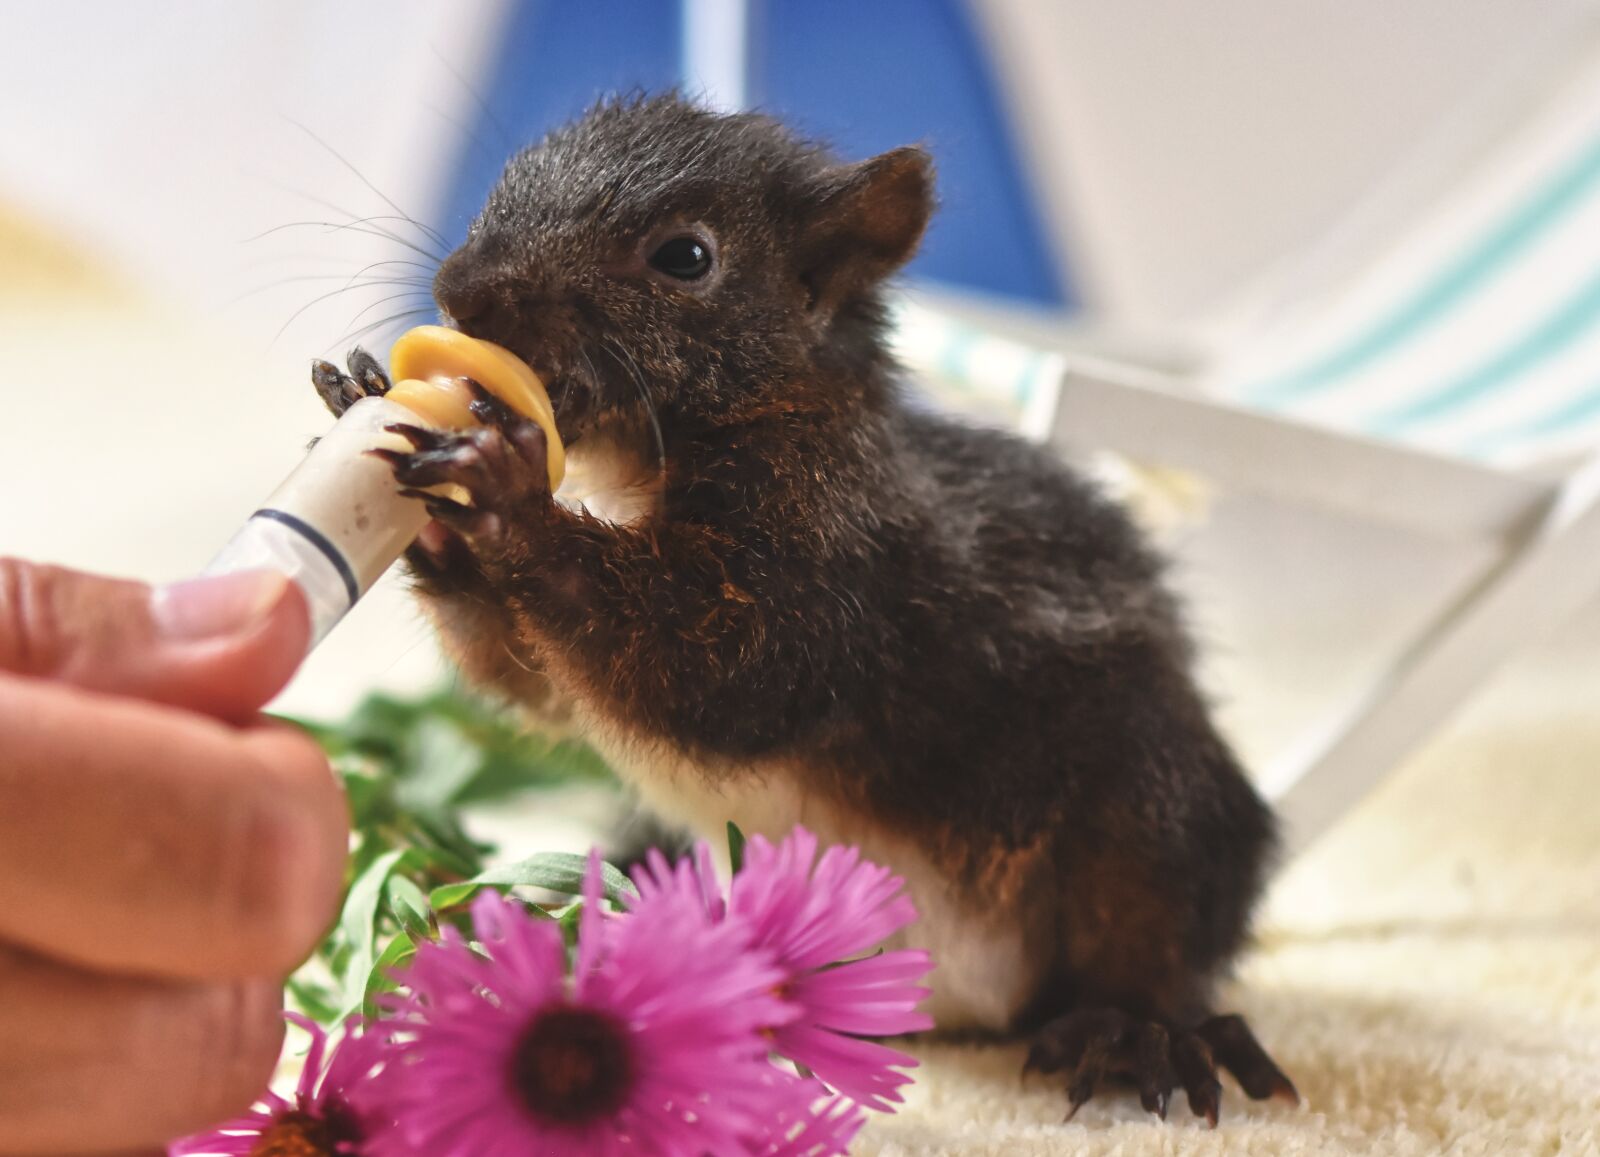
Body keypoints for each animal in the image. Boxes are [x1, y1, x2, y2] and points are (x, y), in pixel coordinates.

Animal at [312, 93, 1297, 1124]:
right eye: (508, 179)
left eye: (686, 257)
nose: (464, 291)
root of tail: (962, 1006)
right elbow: (534, 683)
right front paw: (393, 454)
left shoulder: (835, 564)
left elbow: (716, 668)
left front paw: (503, 491)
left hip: (1152, 803)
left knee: (1156, 933)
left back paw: (1136, 1030)